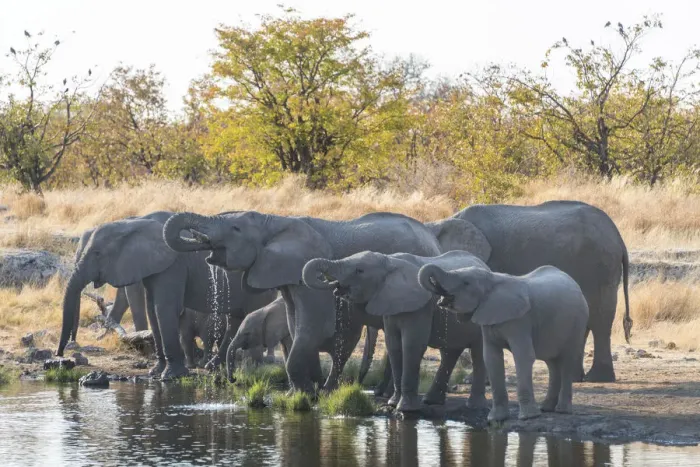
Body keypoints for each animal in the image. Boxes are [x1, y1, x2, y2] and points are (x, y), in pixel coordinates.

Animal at [57, 211, 277, 380]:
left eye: (97, 253)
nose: (60, 357)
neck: (136, 223)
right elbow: (152, 311)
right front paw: (156, 372)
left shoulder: (172, 267)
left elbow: (163, 309)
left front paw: (171, 376)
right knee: (235, 320)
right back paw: (214, 366)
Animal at [162, 211, 442, 393]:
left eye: (235, 229)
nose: (229, 381)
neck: (276, 221)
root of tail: (434, 241)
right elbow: (295, 324)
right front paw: (301, 391)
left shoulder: (305, 270)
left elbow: (315, 325)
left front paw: (305, 393)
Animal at [303, 250, 489, 412]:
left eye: (359, 270)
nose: (333, 283)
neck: (390, 261)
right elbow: (393, 346)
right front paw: (392, 403)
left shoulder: (420, 307)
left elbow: (411, 345)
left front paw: (405, 409)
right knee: (450, 353)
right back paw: (431, 401)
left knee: (478, 353)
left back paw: (474, 406)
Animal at [420, 264, 589, 421]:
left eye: (466, 283)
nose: (440, 295)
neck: (493, 279)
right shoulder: (488, 318)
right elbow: (491, 358)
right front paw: (496, 419)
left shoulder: (521, 320)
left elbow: (523, 356)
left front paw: (528, 417)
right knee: (552, 363)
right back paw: (546, 408)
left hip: (577, 323)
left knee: (567, 360)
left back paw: (562, 410)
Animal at [426, 200, 630, 382]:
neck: (443, 221)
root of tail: (618, 236)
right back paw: (574, 378)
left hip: (600, 265)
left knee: (600, 318)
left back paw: (597, 378)